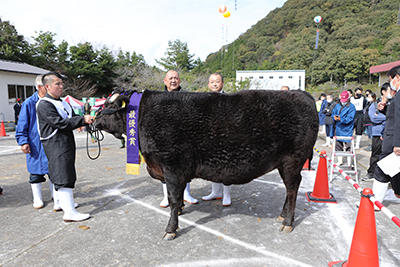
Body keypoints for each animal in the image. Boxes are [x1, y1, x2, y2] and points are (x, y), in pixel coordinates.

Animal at [94, 89, 318, 241]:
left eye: (107, 106)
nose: (92, 120)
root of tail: (301, 94)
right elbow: (176, 197)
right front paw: (181, 211)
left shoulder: (172, 166)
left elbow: (173, 198)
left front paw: (170, 229)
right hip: (283, 163)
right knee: (289, 190)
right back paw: (282, 216)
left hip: (292, 161)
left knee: (292, 189)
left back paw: (288, 223)